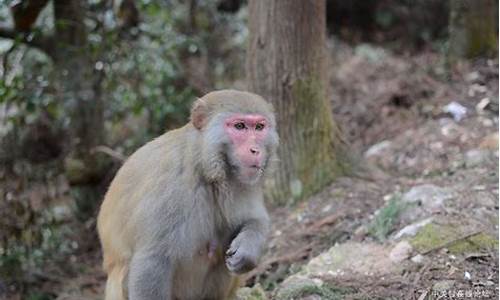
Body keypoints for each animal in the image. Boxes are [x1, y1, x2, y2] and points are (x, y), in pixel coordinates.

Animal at [96, 90, 278, 298]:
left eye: (259, 127)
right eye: (239, 126)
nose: (255, 150)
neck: (206, 169)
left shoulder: (241, 182)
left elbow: (255, 219)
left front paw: (247, 250)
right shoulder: (171, 186)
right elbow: (152, 260)